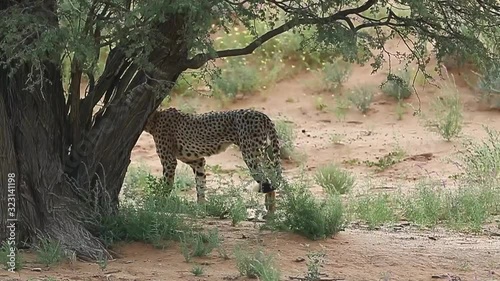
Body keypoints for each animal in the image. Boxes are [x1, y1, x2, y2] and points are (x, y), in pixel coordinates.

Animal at [145, 107, 286, 214]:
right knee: (271, 176)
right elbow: (200, 186)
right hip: (262, 152)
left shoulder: (169, 161)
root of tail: (261, 114)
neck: (155, 117)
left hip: (251, 155)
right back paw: (271, 211)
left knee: (265, 179)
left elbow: (167, 185)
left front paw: (159, 205)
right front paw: (200, 209)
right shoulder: (197, 161)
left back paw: (270, 212)